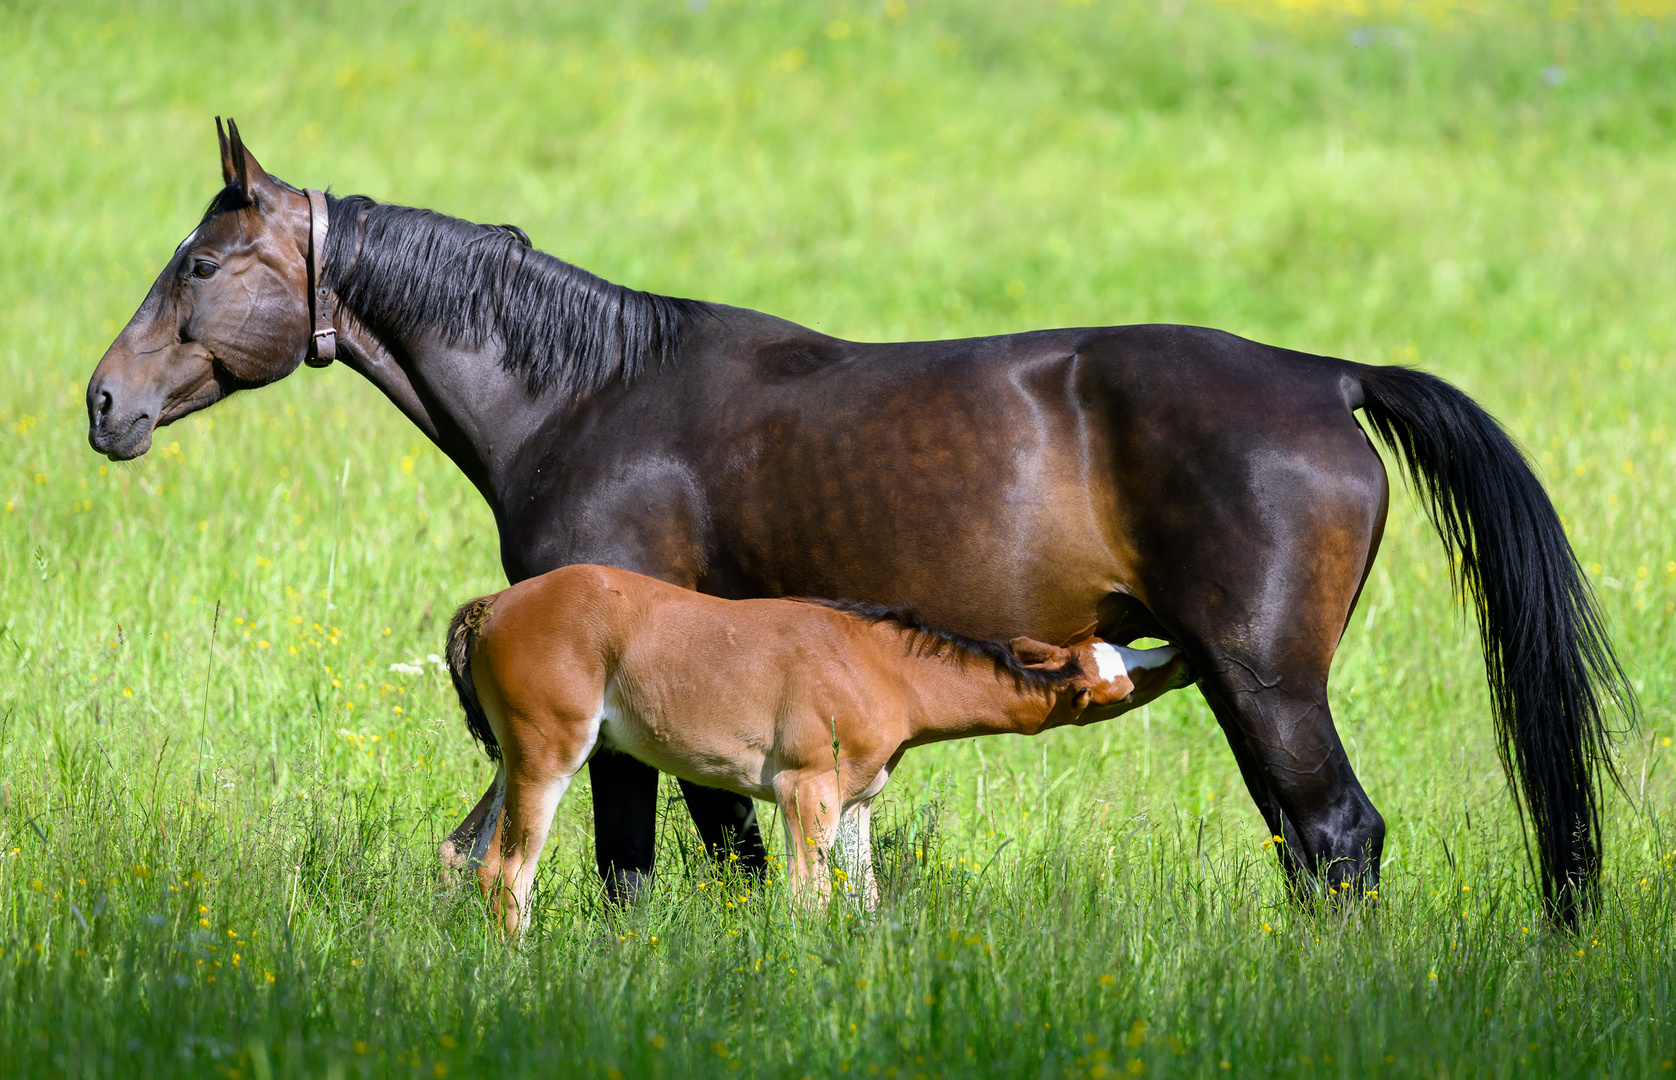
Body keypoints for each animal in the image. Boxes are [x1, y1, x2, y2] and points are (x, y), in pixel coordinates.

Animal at [445, 566, 1193, 925]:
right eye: (1120, 680)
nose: (1182, 651)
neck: (886, 669)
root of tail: (492, 606)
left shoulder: (855, 803)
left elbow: (864, 902)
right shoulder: (805, 791)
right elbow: (810, 902)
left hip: (513, 763)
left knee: (460, 852)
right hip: (549, 756)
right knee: (504, 874)